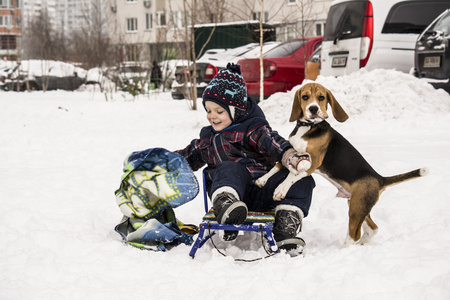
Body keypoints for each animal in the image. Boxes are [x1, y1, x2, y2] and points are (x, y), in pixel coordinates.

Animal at [255, 82, 428, 246]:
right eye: (305, 97)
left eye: (321, 97)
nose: (313, 108)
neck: (308, 127)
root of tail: (379, 178)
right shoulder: (290, 153)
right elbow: (277, 166)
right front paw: (262, 179)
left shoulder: (313, 161)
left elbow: (292, 174)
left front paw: (280, 190)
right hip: (358, 205)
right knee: (372, 228)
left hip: (356, 208)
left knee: (354, 235)